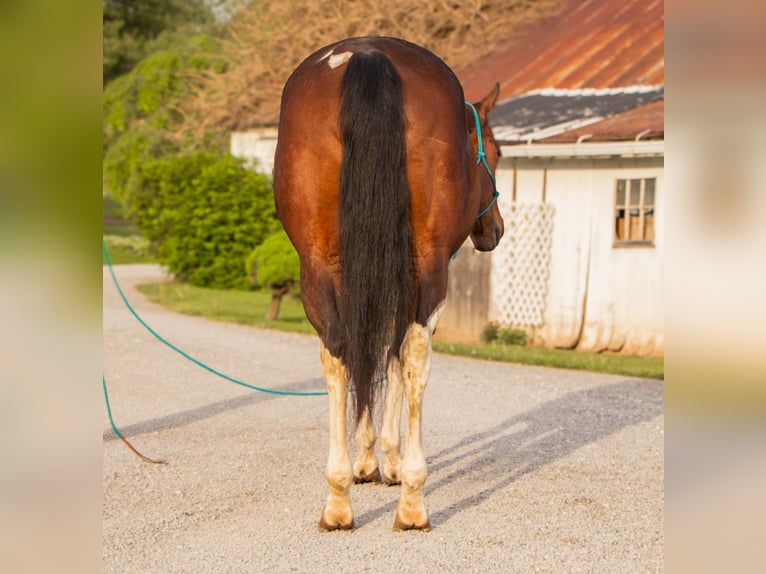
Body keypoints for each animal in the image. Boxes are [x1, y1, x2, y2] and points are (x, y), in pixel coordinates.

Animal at [274, 35, 504, 532]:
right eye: (496, 155)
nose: (494, 229)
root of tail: (368, 53)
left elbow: (368, 356)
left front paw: (364, 462)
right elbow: (396, 361)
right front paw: (391, 462)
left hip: (317, 266)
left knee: (339, 354)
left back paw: (337, 500)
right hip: (426, 272)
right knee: (411, 356)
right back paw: (412, 502)